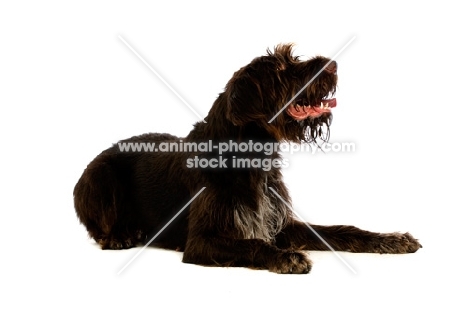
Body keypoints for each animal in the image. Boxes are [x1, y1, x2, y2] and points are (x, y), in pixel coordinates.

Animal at [75, 44, 422, 274]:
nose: (333, 65)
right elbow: (250, 244)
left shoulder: (281, 224)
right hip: (101, 177)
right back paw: (121, 235)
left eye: (293, 58)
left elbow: (339, 230)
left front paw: (390, 239)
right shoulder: (202, 242)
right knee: (98, 226)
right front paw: (286, 257)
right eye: (281, 71)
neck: (253, 158)